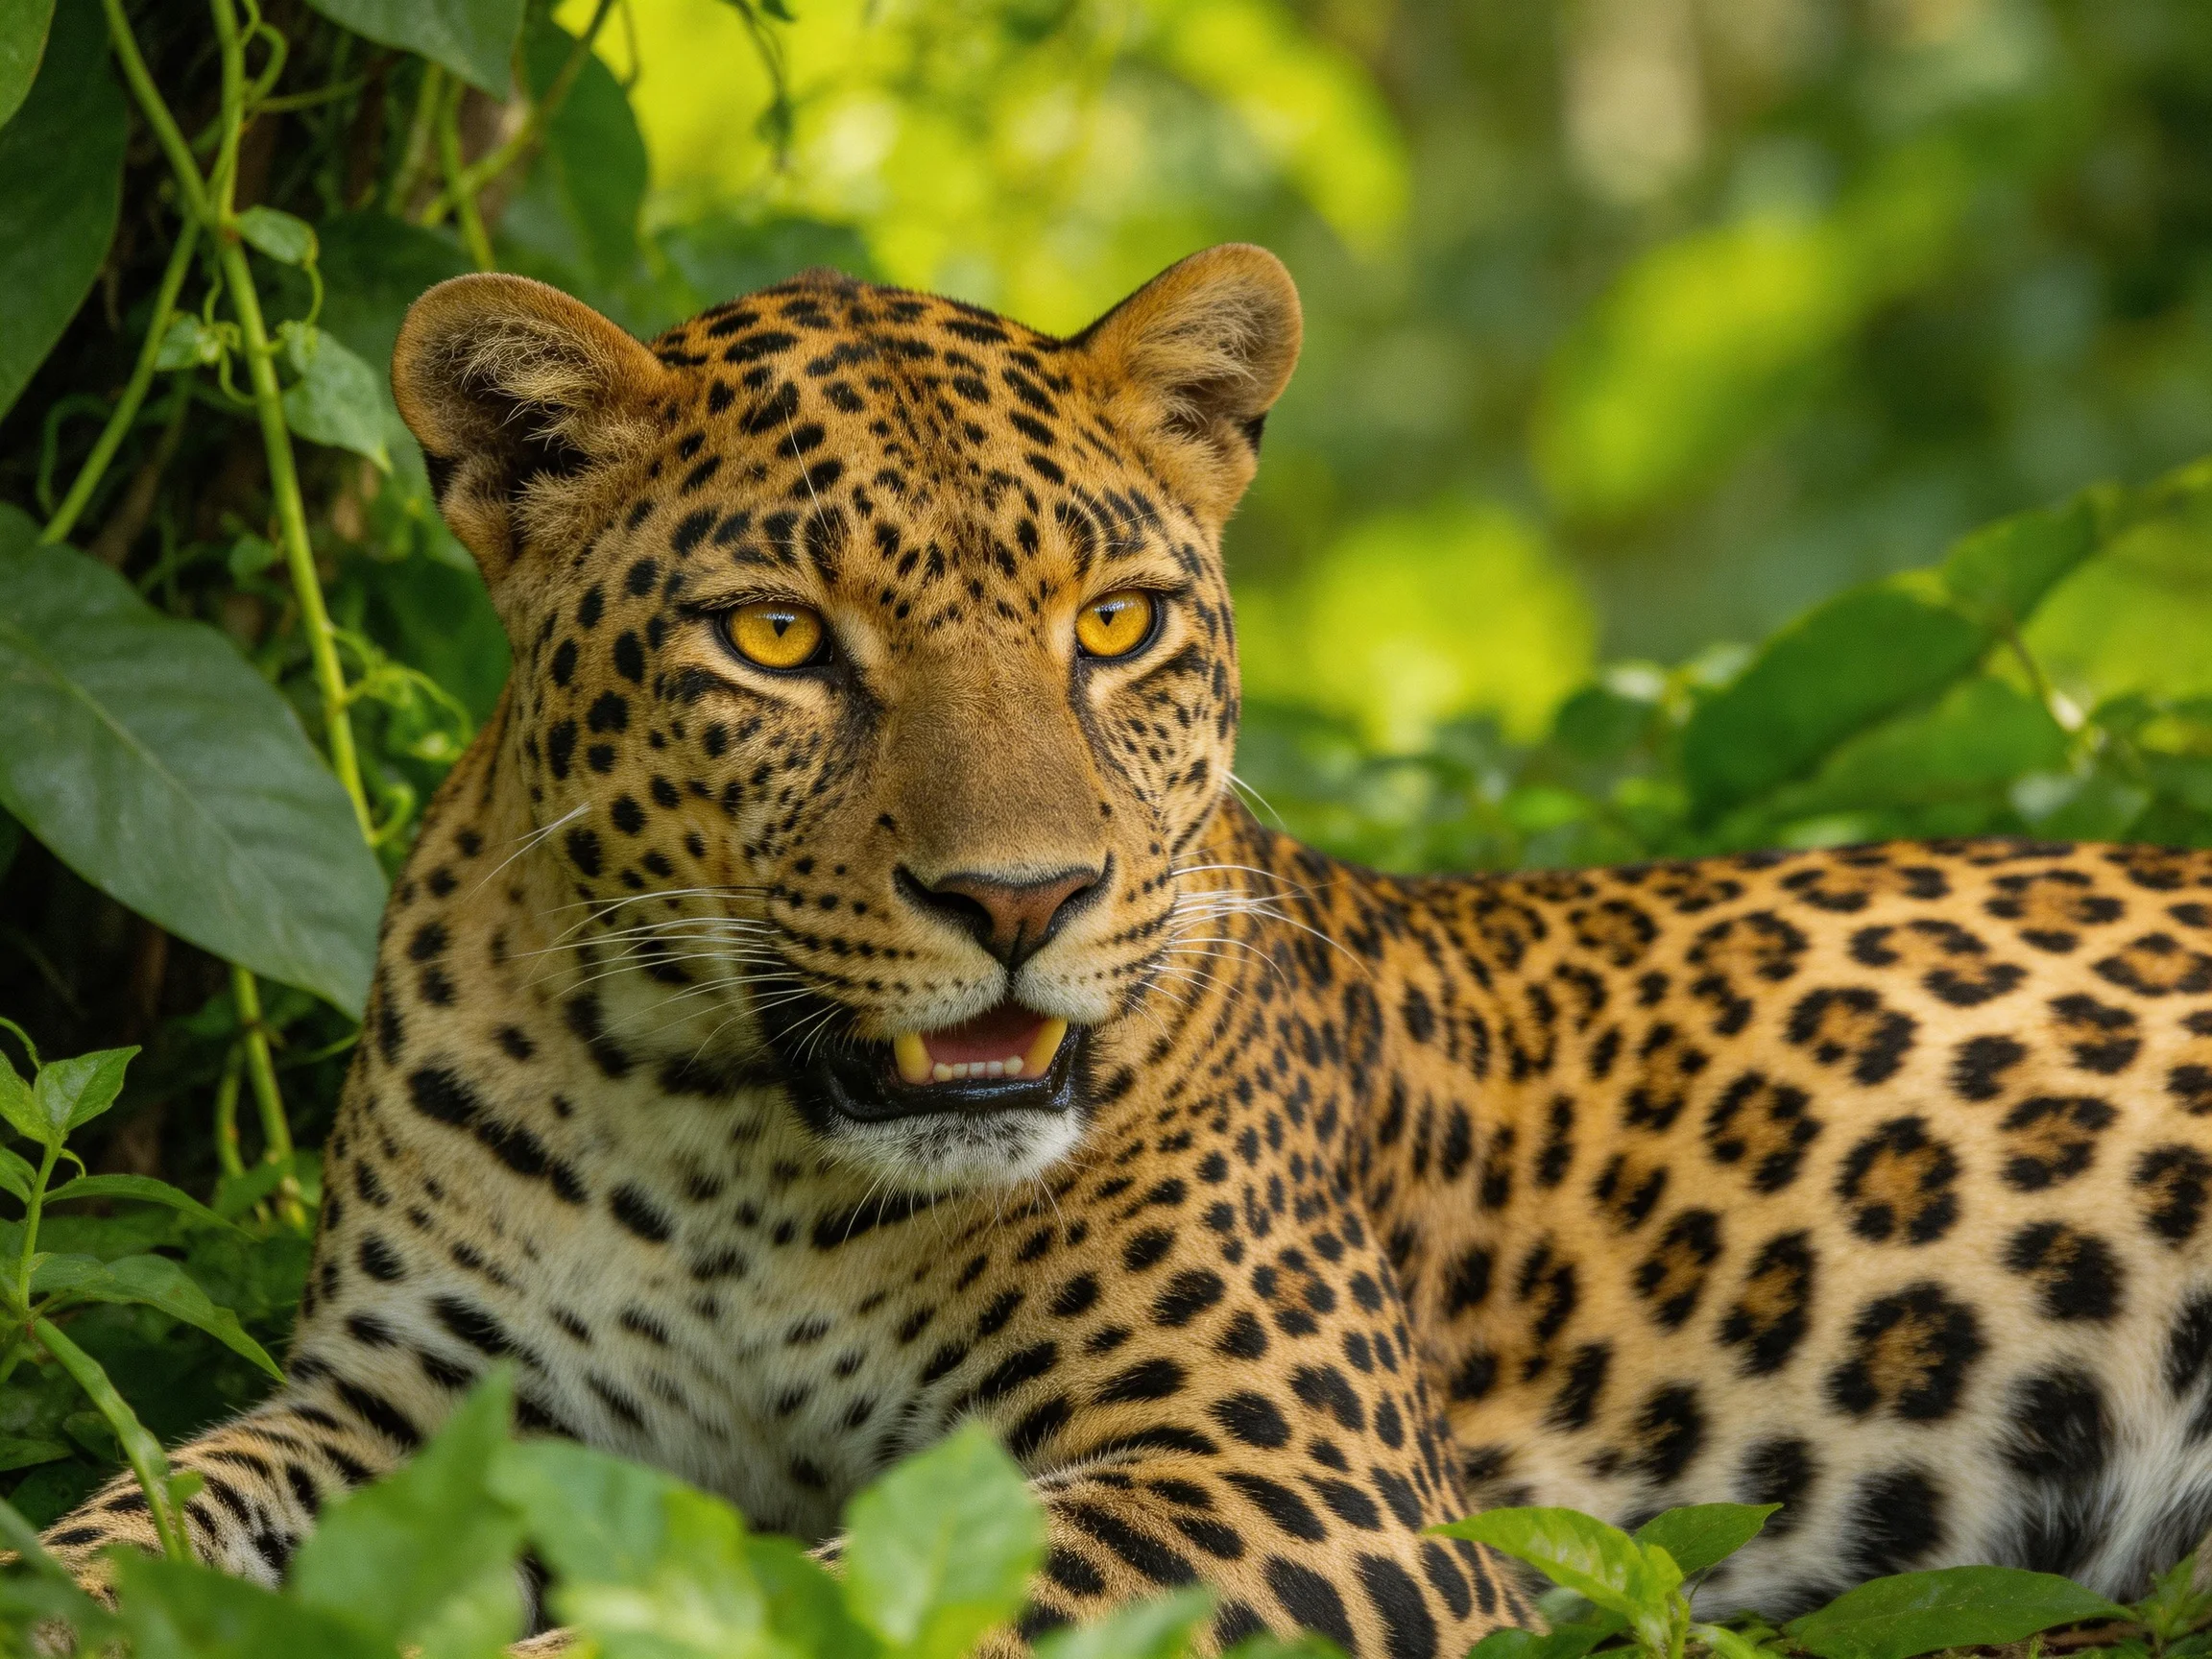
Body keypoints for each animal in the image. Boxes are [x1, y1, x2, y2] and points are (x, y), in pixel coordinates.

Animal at [38, 242, 2212, 1659]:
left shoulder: (1269, 1473)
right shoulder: (417, 1410)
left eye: (1112, 624)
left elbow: (806, 1619)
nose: (1019, 904)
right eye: (776, 639)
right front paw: (61, 1594)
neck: (727, 1133)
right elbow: (146, 1505)